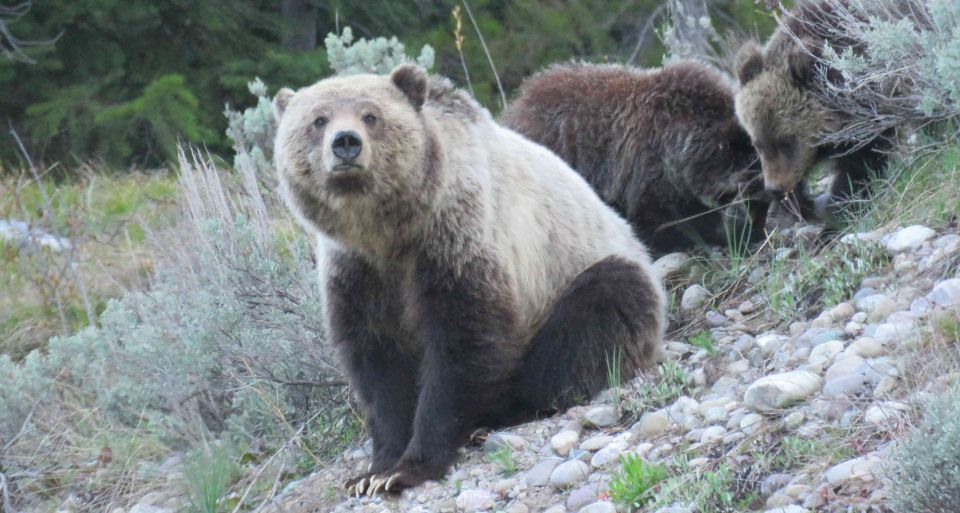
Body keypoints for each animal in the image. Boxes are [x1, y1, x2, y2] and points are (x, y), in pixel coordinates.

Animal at [270, 62, 660, 494]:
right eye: (318, 120)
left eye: (370, 115)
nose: (345, 143)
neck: (387, 232)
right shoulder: (357, 273)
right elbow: (377, 364)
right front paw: (373, 471)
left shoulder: (456, 236)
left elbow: (462, 341)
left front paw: (411, 465)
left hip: (577, 272)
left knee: (599, 312)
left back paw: (507, 410)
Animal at [736, 0, 900, 218]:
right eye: (758, 144)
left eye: (786, 141)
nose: (774, 188)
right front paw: (795, 204)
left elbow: (863, 159)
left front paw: (841, 207)